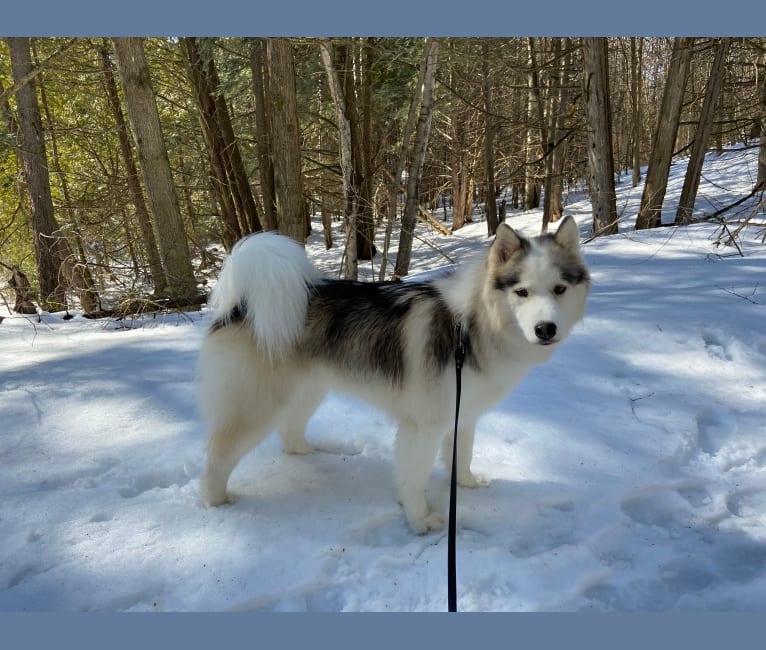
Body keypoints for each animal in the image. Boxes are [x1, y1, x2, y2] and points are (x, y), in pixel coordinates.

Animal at [201, 216, 592, 532]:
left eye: (559, 289)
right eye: (521, 292)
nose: (546, 329)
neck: (471, 327)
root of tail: (240, 307)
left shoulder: (462, 415)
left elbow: (461, 457)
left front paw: (466, 484)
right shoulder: (423, 426)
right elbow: (414, 478)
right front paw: (420, 520)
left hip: (307, 390)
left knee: (289, 432)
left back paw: (312, 453)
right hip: (257, 403)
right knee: (218, 456)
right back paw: (215, 501)